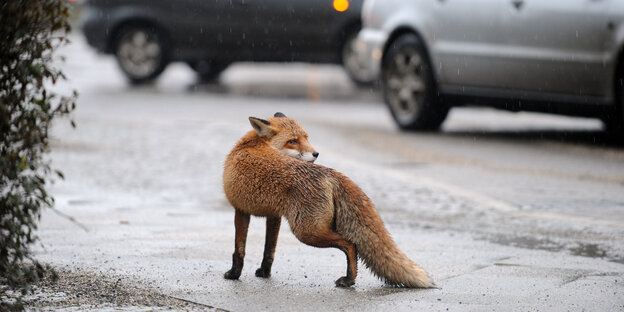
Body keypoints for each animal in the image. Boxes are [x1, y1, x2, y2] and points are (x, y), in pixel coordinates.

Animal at [223, 112, 434, 288]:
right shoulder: (274, 216)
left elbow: (238, 249)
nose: (316, 153)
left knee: (351, 244)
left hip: (307, 231)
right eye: (293, 141)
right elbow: (269, 249)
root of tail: (331, 173)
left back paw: (348, 279)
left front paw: (234, 275)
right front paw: (265, 272)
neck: (251, 144)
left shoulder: (240, 210)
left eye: (306, 138)